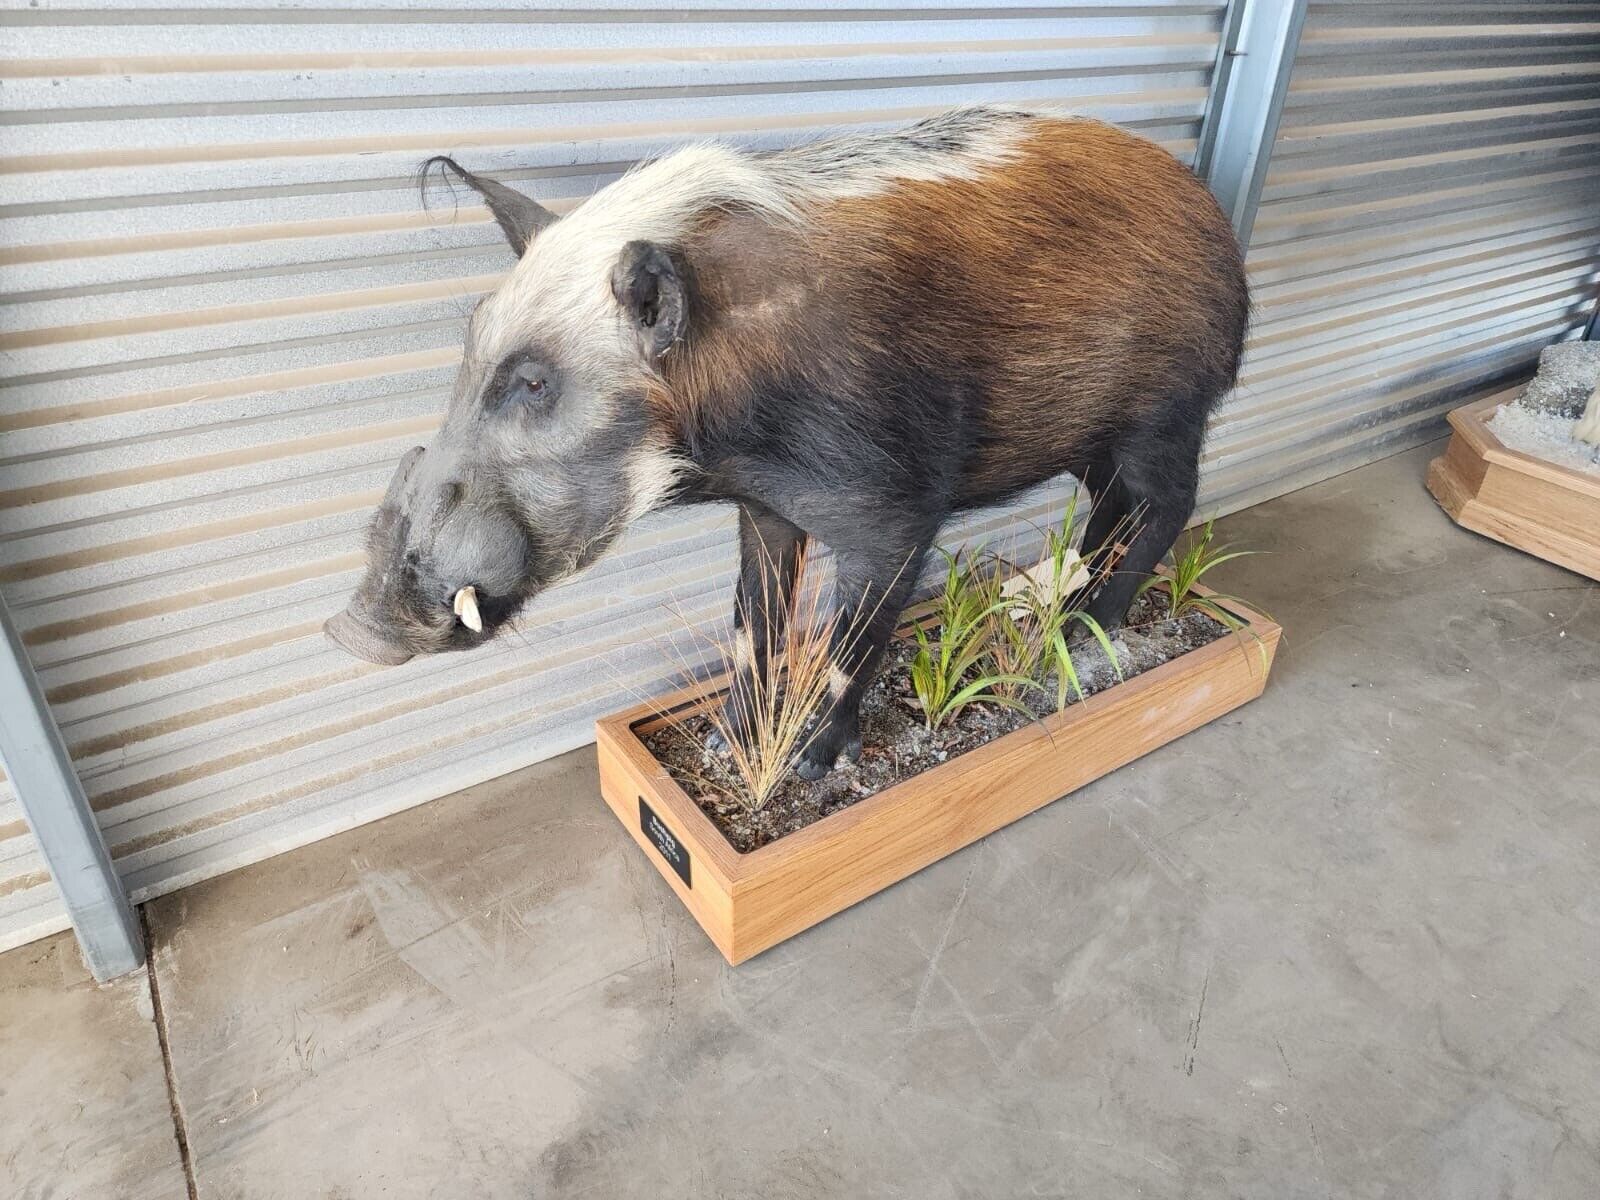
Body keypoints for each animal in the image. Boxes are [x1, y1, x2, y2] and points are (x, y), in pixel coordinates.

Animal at [325, 107, 1248, 779]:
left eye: (535, 385)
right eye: (470, 344)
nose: (350, 632)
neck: (734, 441)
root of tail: (1214, 215)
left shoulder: (894, 516)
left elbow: (850, 644)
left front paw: (807, 768)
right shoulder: (767, 510)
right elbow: (751, 628)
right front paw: (723, 746)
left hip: (1170, 416)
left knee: (1168, 507)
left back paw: (1092, 631)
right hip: (1094, 440)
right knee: (1109, 508)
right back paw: (1055, 607)